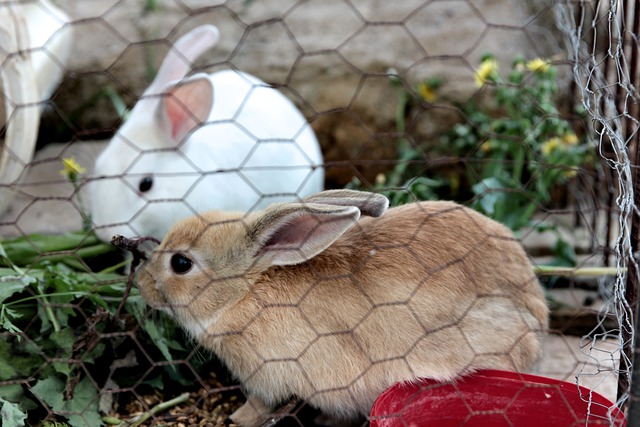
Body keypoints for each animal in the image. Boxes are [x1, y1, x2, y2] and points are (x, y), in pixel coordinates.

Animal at [138, 190, 548, 427]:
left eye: (180, 264)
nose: (142, 284)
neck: (245, 290)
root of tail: (537, 320)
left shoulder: (266, 378)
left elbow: (258, 403)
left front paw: (238, 418)